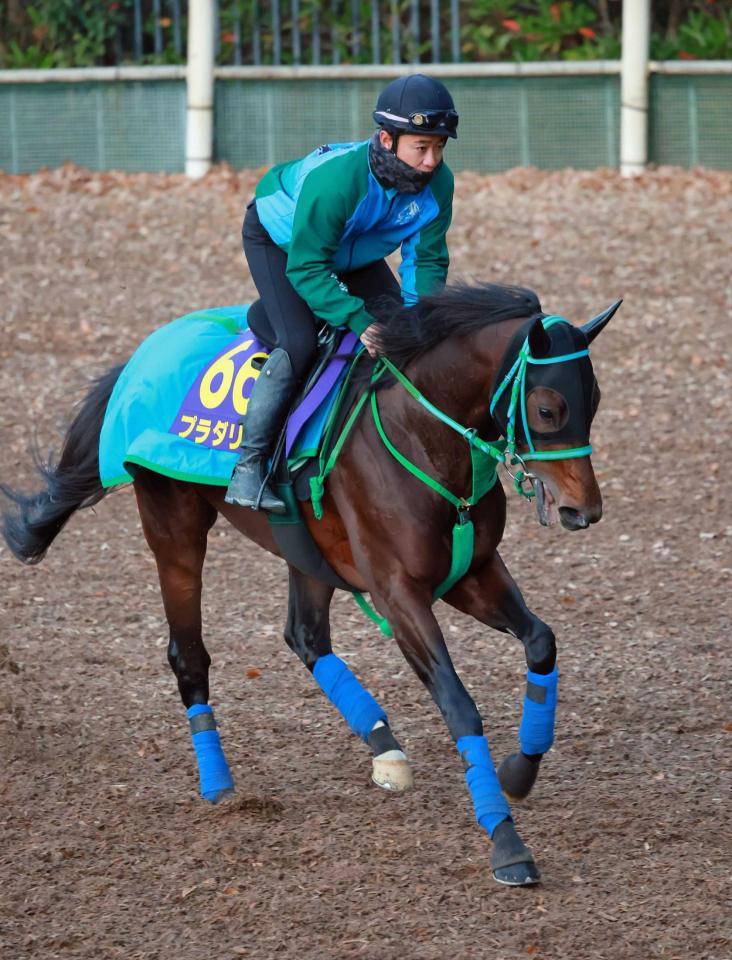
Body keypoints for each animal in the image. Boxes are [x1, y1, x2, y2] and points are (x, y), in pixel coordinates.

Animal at [1, 282, 616, 888]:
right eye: (548, 408)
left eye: (595, 401)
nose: (583, 511)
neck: (419, 433)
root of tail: (138, 357)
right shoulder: (399, 591)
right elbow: (459, 706)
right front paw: (506, 842)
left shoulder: (471, 570)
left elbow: (541, 641)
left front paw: (519, 771)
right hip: (173, 524)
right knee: (189, 655)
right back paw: (219, 785)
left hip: (305, 550)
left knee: (305, 636)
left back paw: (384, 746)